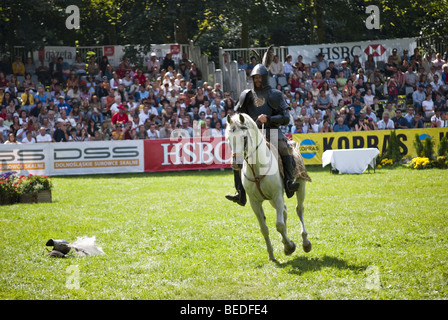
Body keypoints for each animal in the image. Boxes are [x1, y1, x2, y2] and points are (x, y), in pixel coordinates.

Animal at [224, 114, 312, 262]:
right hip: (273, 200)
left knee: (299, 209)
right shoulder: (255, 202)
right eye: (229, 138)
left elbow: (279, 225)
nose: (236, 164)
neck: (256, 168)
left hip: (301, 185)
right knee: (284, 211)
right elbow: (264, 228)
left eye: (244, 137)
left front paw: (289, 247)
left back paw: (305, 242)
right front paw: (273, 254)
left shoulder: (277, 195)